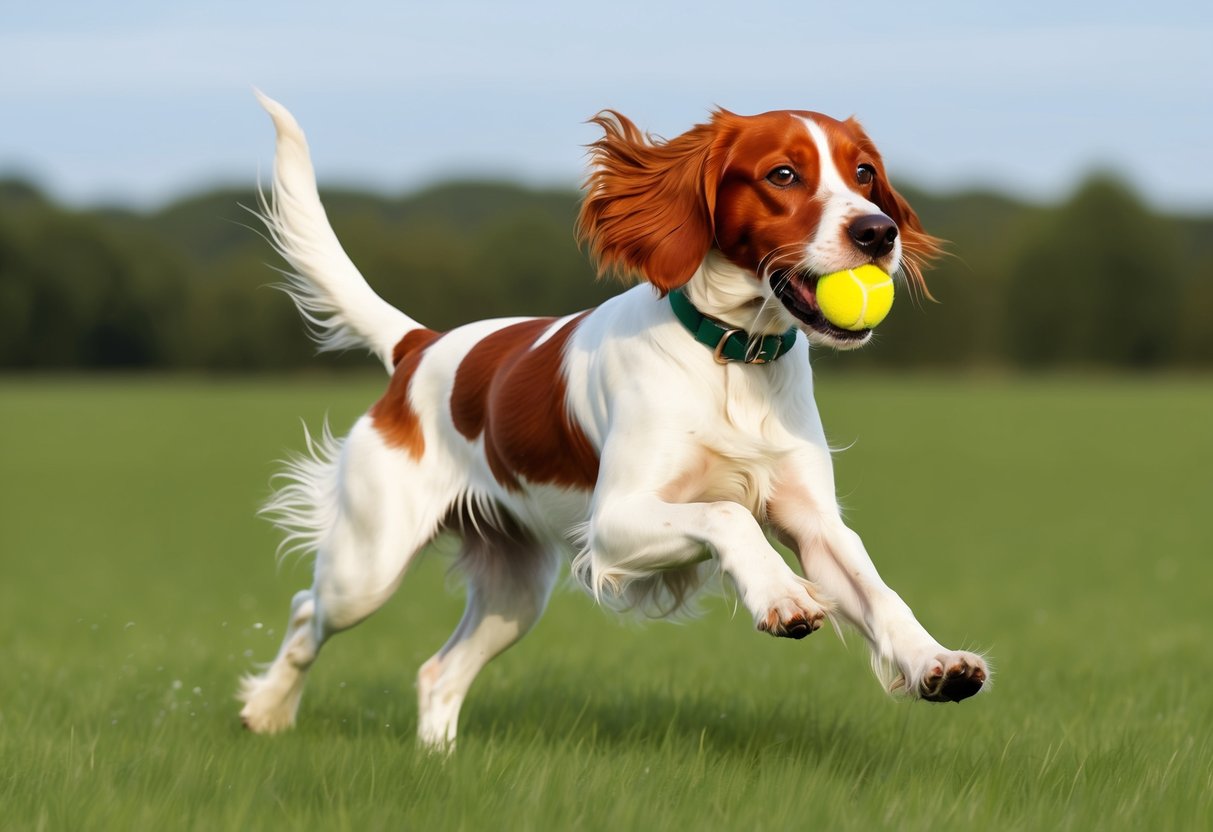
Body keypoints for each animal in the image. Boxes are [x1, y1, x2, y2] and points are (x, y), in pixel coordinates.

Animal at [236, 90, 984, 751]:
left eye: (864, 174)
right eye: (782, 174)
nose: (877, 231)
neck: (732, 359)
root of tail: (419, 346)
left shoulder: (814, 522)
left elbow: (880, 593)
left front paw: (935, 662)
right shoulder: (615, 524)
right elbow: (727, 516)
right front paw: (780, 594)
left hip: (514, 590)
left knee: (437, 674)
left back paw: (438, 765)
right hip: (369, 563)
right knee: (307, 613)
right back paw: (266, 712)